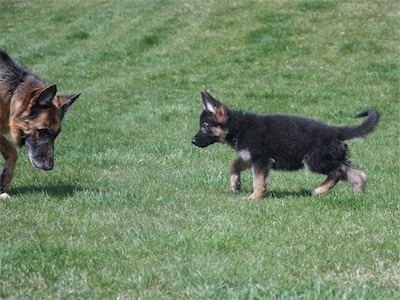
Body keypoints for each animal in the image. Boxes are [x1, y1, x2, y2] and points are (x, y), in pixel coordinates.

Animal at [0, 48, 80, 199]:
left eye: (56, 134)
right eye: (42, 130)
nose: (49, 167)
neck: (13, 93)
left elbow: (12, 150)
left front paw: (5, 179)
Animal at [192, 91, 380, 199]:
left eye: (204, 125)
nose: (192, 141)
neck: (239, 126)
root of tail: (335, 131)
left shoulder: (260, 160)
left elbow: (258, 181)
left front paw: (254, 197)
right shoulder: (249, 156)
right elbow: (234, 165)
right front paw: (235, 184)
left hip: (314, 161)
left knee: (339, 171)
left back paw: (320, 190)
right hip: (330, 157)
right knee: (358, 174)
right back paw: (357, 194)